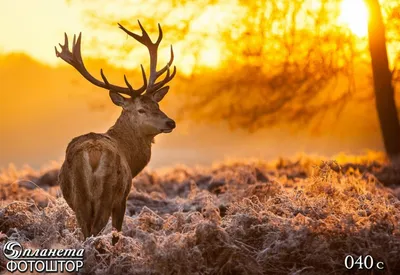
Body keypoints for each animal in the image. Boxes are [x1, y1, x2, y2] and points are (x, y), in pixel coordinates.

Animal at [55, 21, 177, 242]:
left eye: (157, 104)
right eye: (141, 109)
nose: (170, 122)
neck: (131, 157)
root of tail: (93, 154)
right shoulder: (123, 198)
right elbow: (116, 233)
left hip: (79, 198)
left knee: (85, 232)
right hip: (108, 193)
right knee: (95, 231)